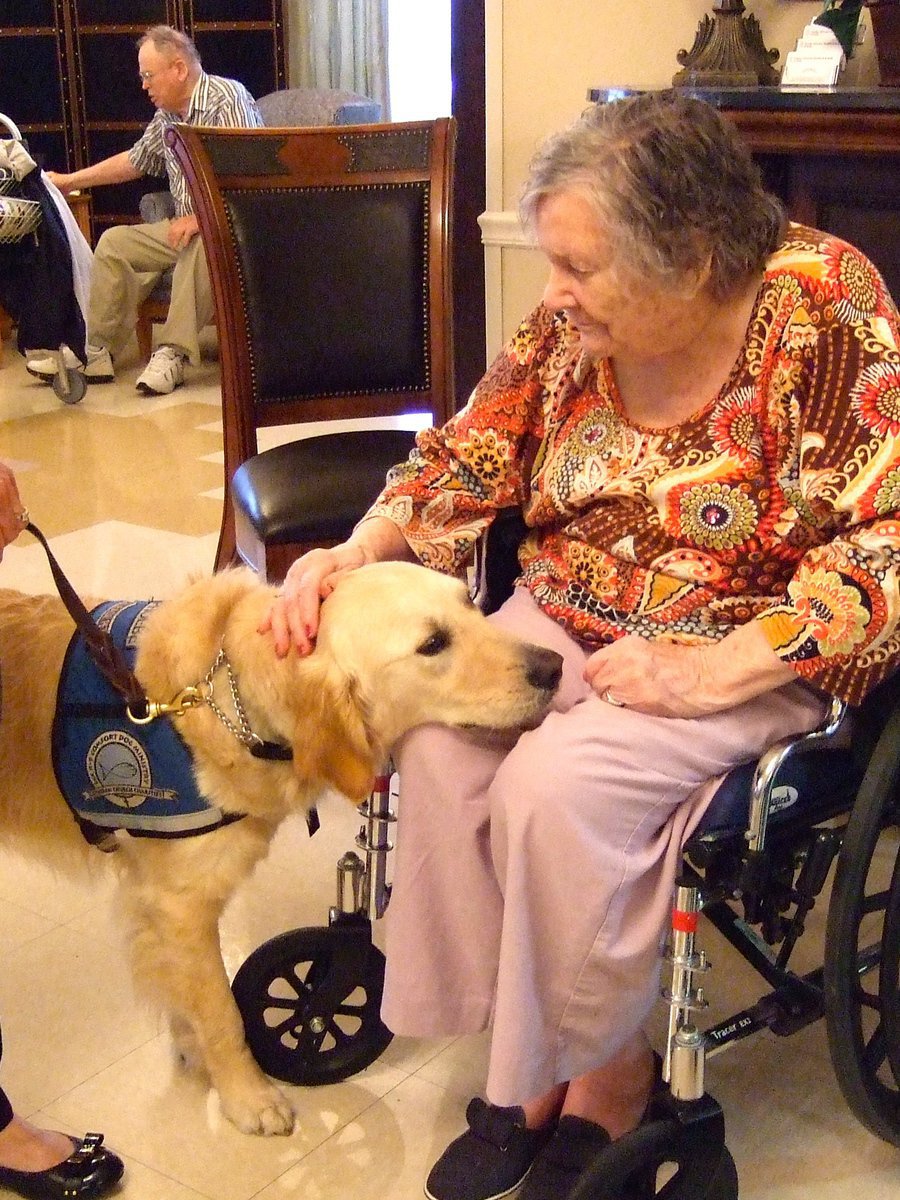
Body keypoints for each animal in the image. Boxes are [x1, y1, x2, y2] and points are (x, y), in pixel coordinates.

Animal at [0, 561, 564, 1132]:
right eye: (432, 644)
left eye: (470, 603)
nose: (555, 665)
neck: (225, 702)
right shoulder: (180, 905)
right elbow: (222, 1012)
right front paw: (247, 1096)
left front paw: (194, 1050)